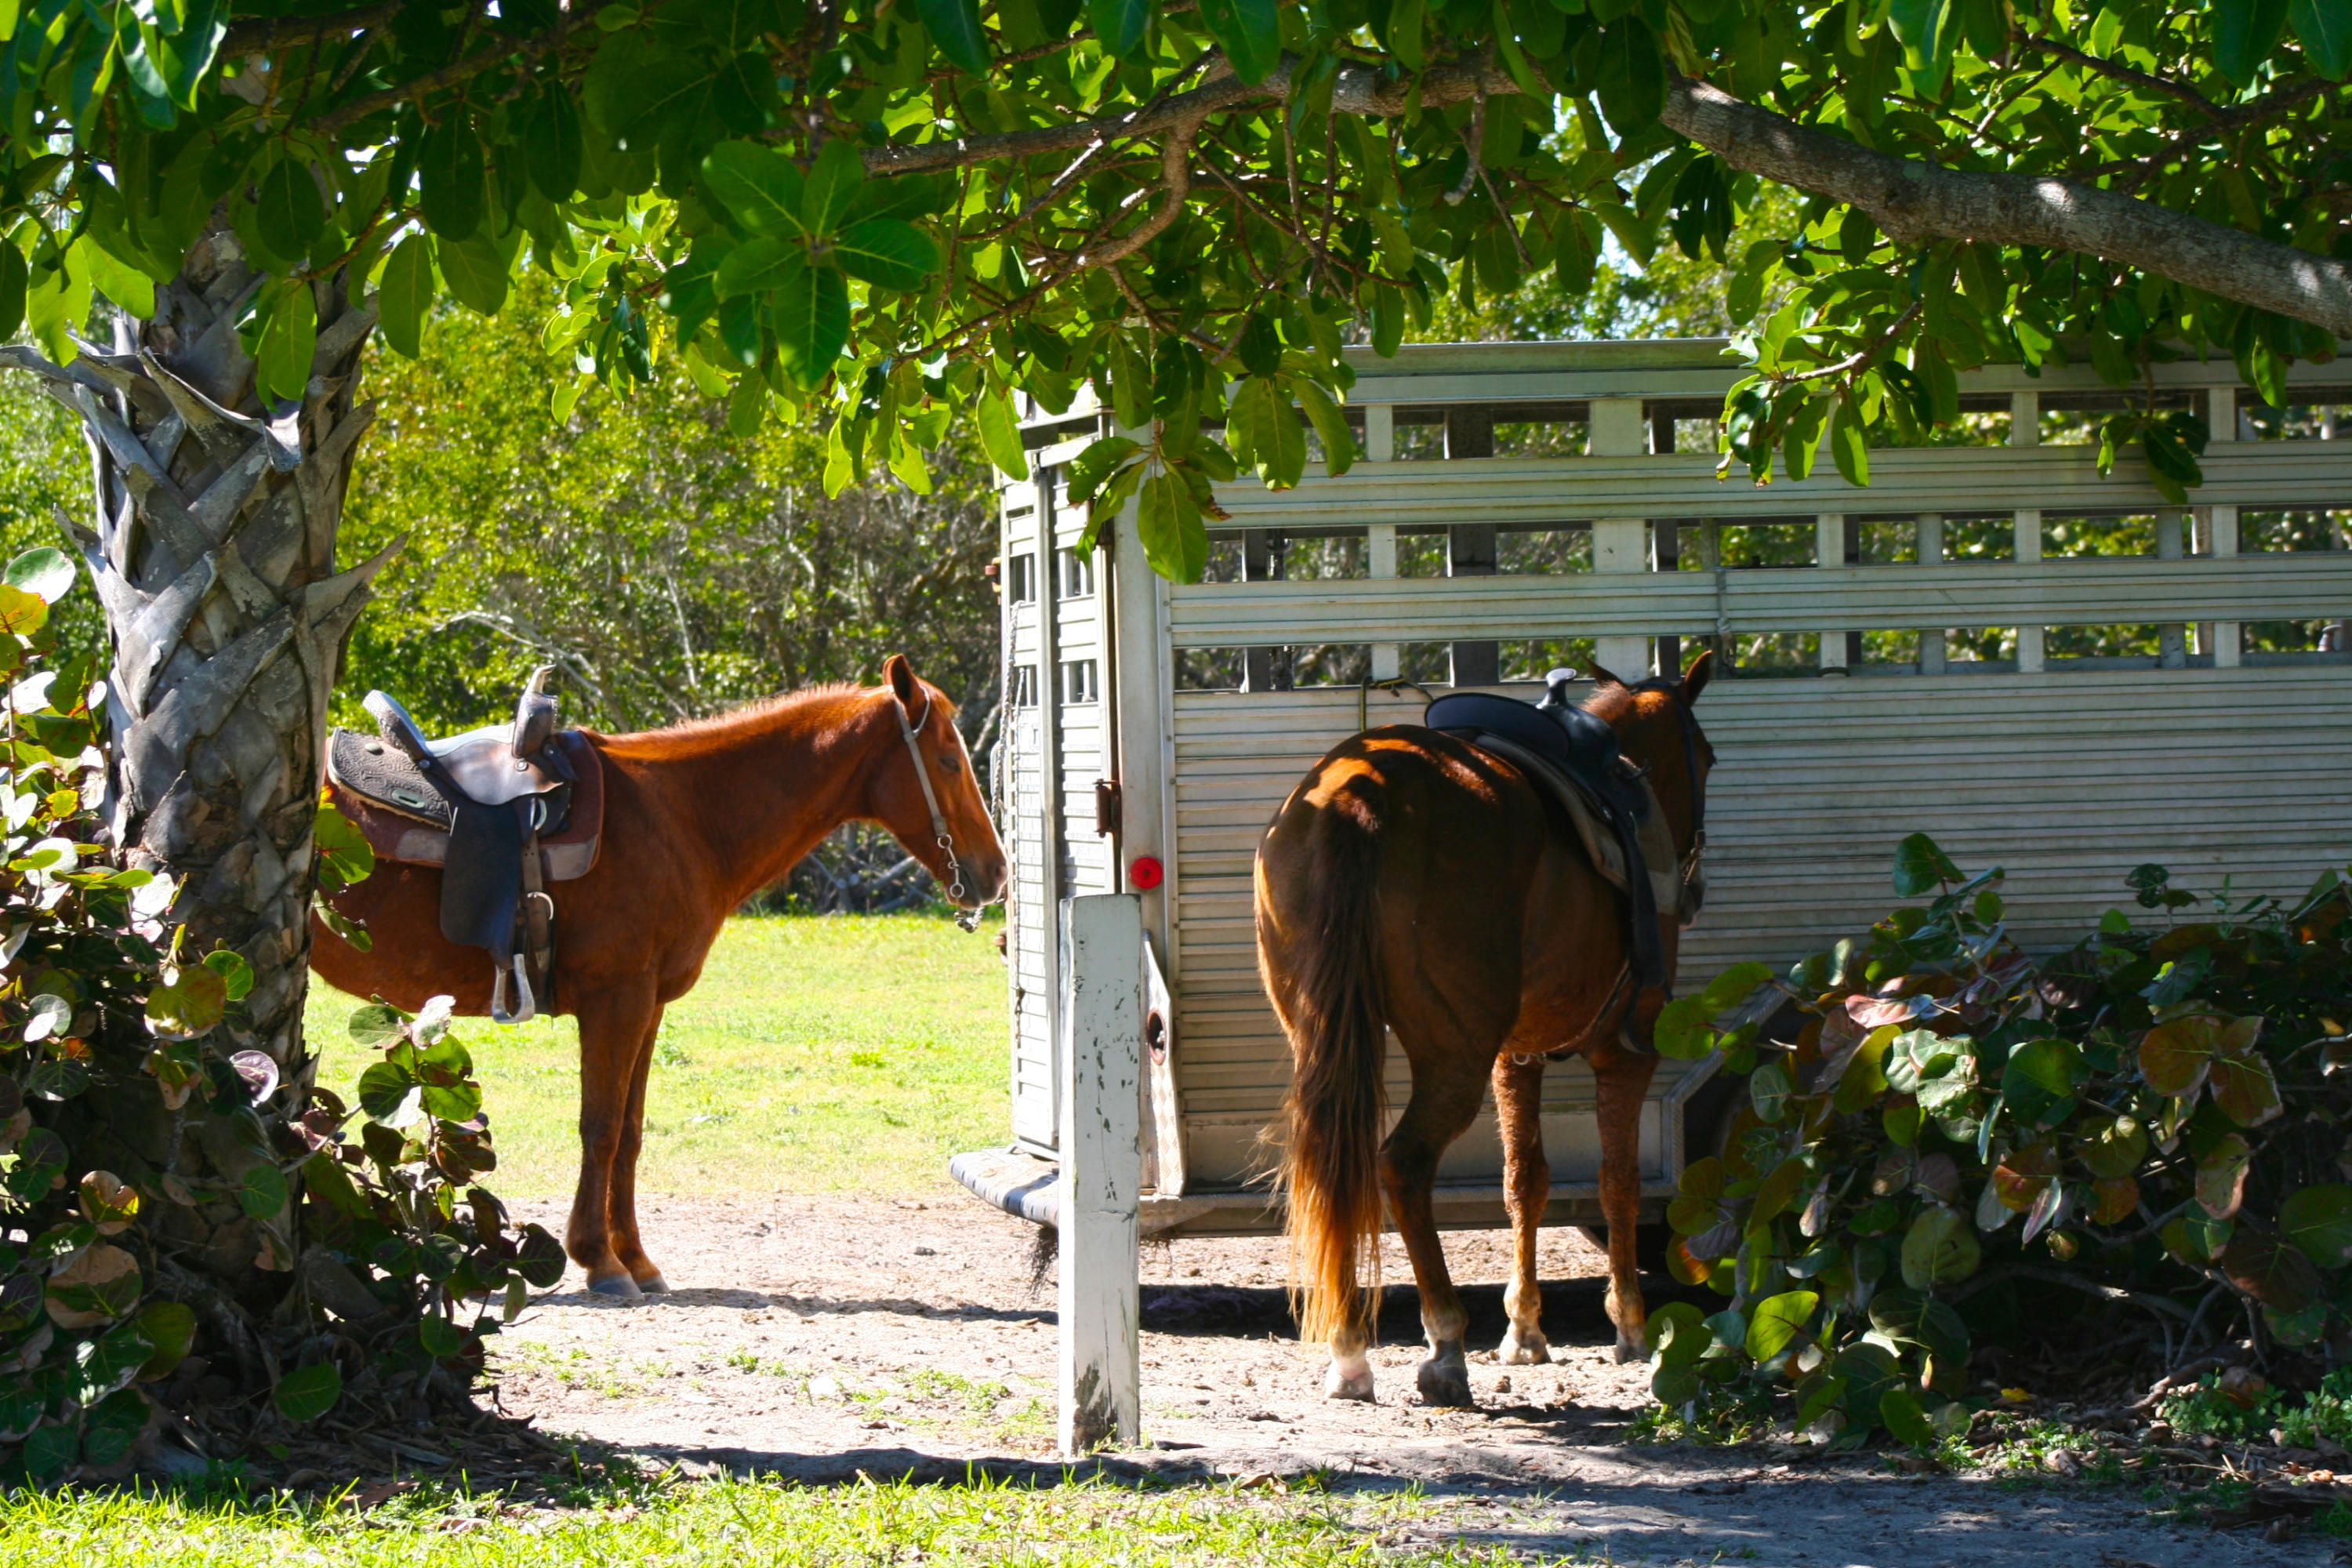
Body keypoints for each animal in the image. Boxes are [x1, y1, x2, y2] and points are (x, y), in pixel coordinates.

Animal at [310, 654, 1008, 1297]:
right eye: (949, 761)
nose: (997, 871)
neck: (679, 815)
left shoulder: (647, 1006)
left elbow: (630, 1132)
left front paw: (637, 1260)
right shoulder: (615, 1000)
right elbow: (600, 1129)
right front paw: (600, 1261)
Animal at [1254, 652, 1716, 1406]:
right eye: (1706, 757)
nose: (1696, 886)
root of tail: (1361, 794)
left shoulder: (1515, 1057)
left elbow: (1524, 1180)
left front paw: (1525, 1331)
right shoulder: (1623, 1052)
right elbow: (1617, 1180)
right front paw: (1630, 1326)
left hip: (1328, 1040)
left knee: (1333, 1163)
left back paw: (1351, 1352)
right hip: (1453, 1053)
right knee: (1403, 1164)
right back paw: (1444, 1344)